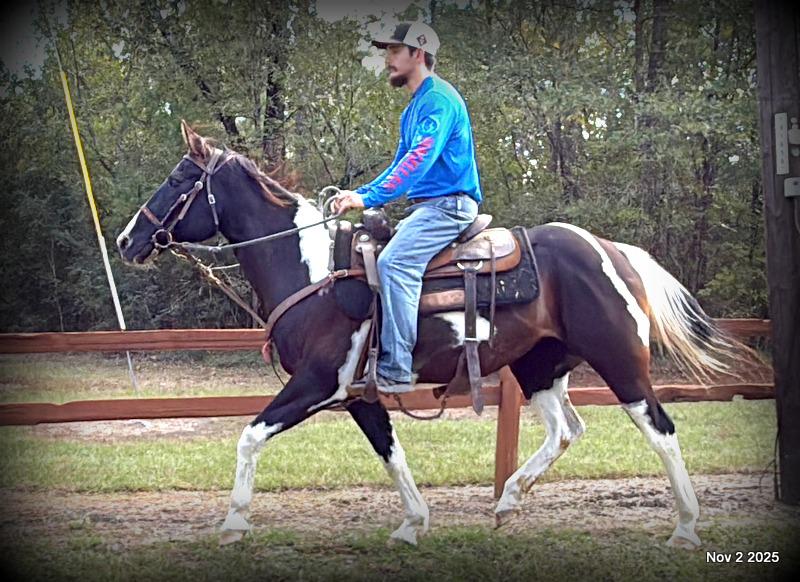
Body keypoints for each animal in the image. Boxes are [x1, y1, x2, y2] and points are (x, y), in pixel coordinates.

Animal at [117, 120, 745, 550]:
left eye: (177, 179)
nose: (126, 240)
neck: (313, 272)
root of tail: (612, 250)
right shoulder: (356, 395)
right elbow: (390, 452)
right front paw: (413, 523)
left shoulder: (317, 384)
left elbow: (248, 437)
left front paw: (233, 522)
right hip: (539, 368)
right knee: (566, 430)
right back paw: (508, 501)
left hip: (619, 362)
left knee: (660, 429)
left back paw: (686, 527)